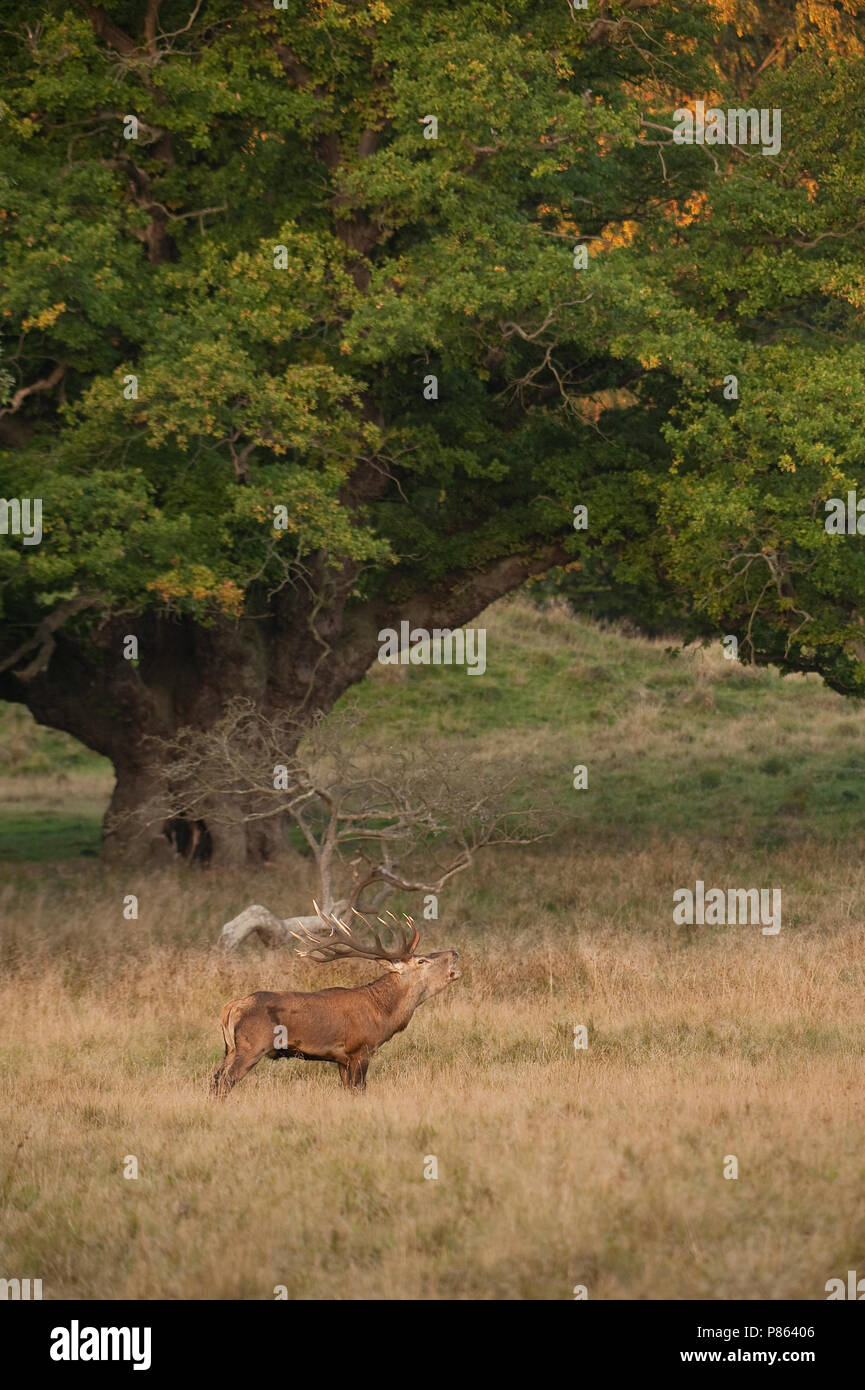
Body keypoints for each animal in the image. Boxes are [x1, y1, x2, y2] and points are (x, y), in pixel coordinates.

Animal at [210, 903, 460, 1097]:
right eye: (421, 961)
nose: (455, 952)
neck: (383, 1013)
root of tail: (231, 1007)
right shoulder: (361, 1048)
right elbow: (360, 1089)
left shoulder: (342, 1059)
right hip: (252, 1046)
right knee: (224, 1082)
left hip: (230, 1048)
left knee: (214, 1078)